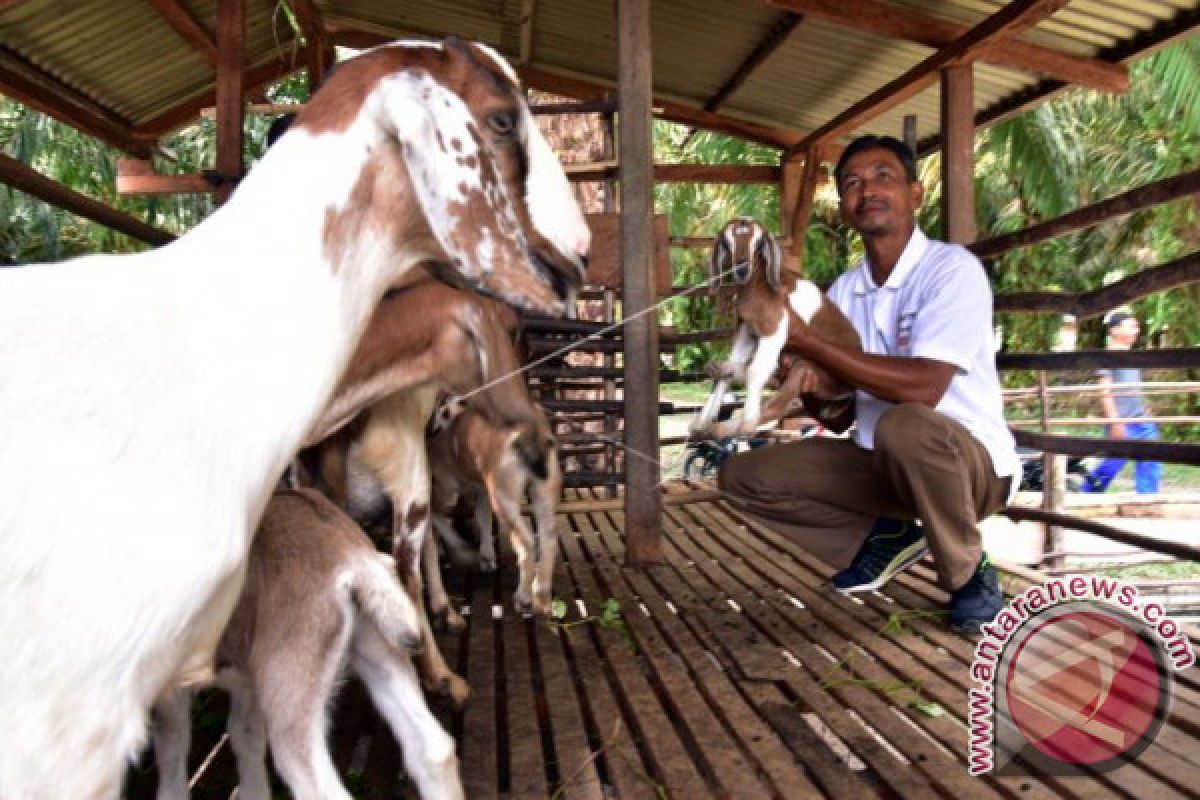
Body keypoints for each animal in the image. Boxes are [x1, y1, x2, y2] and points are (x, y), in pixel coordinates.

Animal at [154, 489, 463, 800]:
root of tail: (355, 561)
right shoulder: (248, 679)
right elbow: (245, 735)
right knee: (433, 750)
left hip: (291, 678)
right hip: (376, 646)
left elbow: (174, 744)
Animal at [429, 398, 564, 618]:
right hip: (544, 489)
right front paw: (486, 558)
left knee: (525, 540)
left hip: (502, 493)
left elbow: (436, 513)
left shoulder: (446, 483)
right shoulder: (482, 488)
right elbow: (483, 517)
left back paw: (523, 598)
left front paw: (463, 551)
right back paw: (542, 596)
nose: (432, 431)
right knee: (548, 537)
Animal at [691, 219, 859, 441]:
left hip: (808, 368)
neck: (760, 288)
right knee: (760, 375)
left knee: (778, 403)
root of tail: (849, 393)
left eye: (759, 242)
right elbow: (737, 368)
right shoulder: (748, 331)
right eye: (726, 243)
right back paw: (723, 369)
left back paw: (725, 428)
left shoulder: (774, 329)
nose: (742, 269)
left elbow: (757, 371)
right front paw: (701, 422)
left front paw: (747, 424)